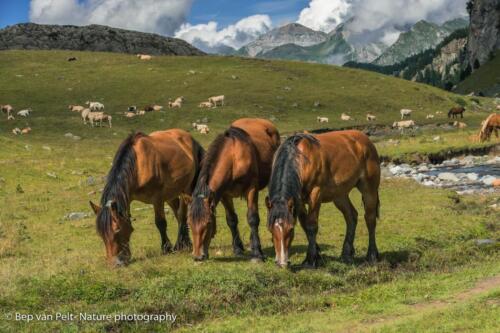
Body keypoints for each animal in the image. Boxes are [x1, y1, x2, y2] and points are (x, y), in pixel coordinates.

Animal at [89, 128, 204, 266]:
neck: (138, 164)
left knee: (182, 214)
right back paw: (185, 243)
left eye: (117, 229)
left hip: (185, 189)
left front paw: (166, 248)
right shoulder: (129, 197)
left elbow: (160, 223)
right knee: (178, 213)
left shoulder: (157, 198)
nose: (114, 264)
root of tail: (188, 137)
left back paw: (180, 244)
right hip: (171, 193)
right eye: (100, 233)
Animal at [188, 118, 282, 260]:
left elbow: (253, 218)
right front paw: (238, 248)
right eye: (189, 223)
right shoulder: (224, 195)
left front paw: (257, 253)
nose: (198, 256)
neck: (234, 157)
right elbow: (231, 220)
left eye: (208, 223)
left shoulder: (252, 189)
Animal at [268, 130, 380, 268]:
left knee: (370, 219)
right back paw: (346, 254)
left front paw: (310, 260)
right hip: (339, 196)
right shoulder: (298, 200)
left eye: (291, 229)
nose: (282, 263)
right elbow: (304, 224)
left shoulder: (315, 194)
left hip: (369, 189)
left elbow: (311, 225)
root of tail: (365, 140)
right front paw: (316, 254)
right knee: (351, 217)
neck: (301, 160)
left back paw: (372, 255)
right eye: (271, 230)